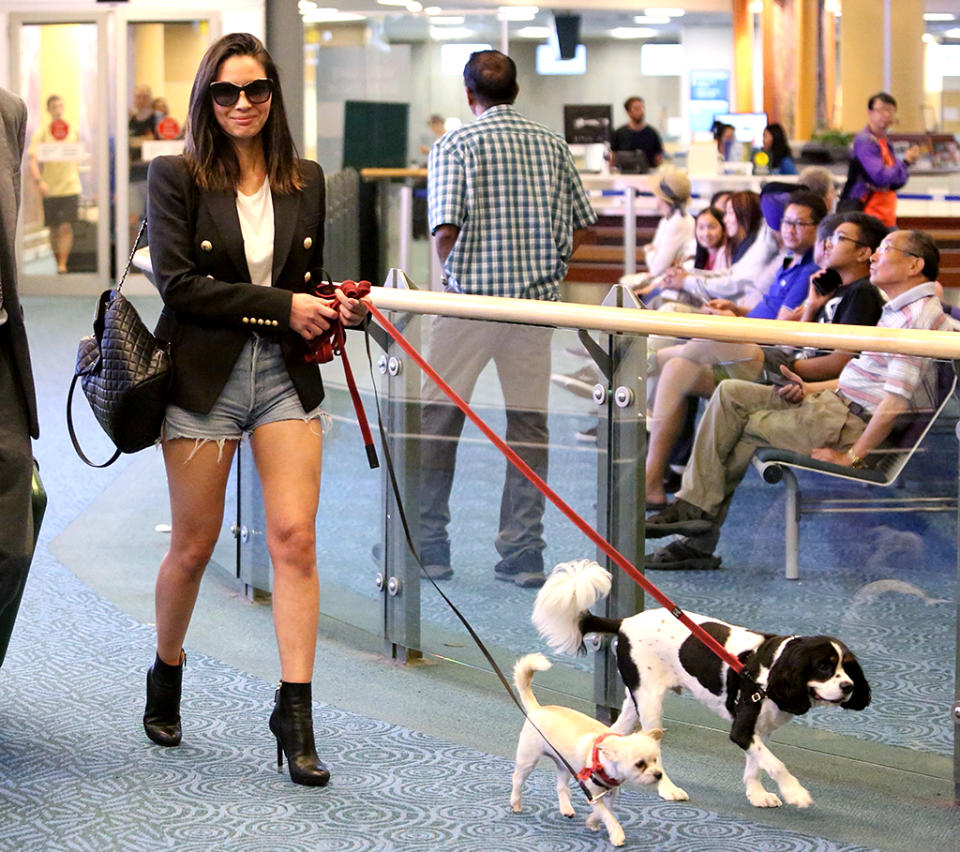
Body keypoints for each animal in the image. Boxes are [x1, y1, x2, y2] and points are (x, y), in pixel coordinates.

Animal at [512, 652, 664, 844]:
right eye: (639, 764)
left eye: (655, 760)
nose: (659, 774)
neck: (604, 761)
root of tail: (537, 708)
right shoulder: (593, 794)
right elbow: (608, 816)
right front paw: (617, 834)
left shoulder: (609, 794)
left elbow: (604, 812)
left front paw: (592, 822)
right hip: (528, 760)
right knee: (517, 779)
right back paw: (516, 802)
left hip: (564, 764)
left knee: (561, 787)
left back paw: (566, 808)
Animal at [532, 564, 872, 808]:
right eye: (825, 666)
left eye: (847, 667)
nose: (848, 687)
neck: (773, 668)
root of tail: (625, 622)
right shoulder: (743, 728)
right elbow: (776, 764)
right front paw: (795, 793)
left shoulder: (758, 730)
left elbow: (757, 764)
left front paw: (757, 795)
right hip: (651, 702)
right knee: (651, 746)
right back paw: (668, 789)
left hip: (635, 698)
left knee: (616, 732)